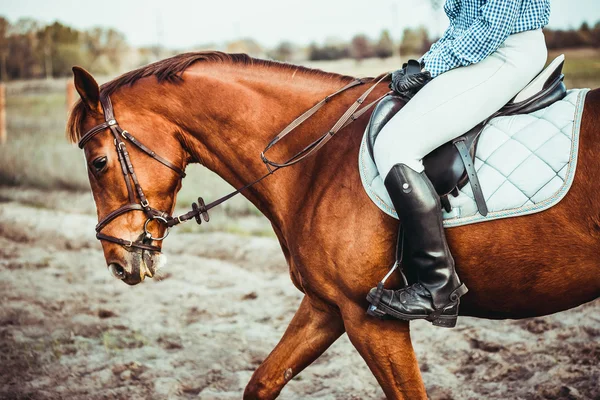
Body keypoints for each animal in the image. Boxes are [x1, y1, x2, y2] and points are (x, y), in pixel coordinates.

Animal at [67, 51, 600, 398]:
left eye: (98, 162)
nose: (117, 261)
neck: (315, 160)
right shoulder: (326, 306)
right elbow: (263, 381)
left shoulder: (371, 319)